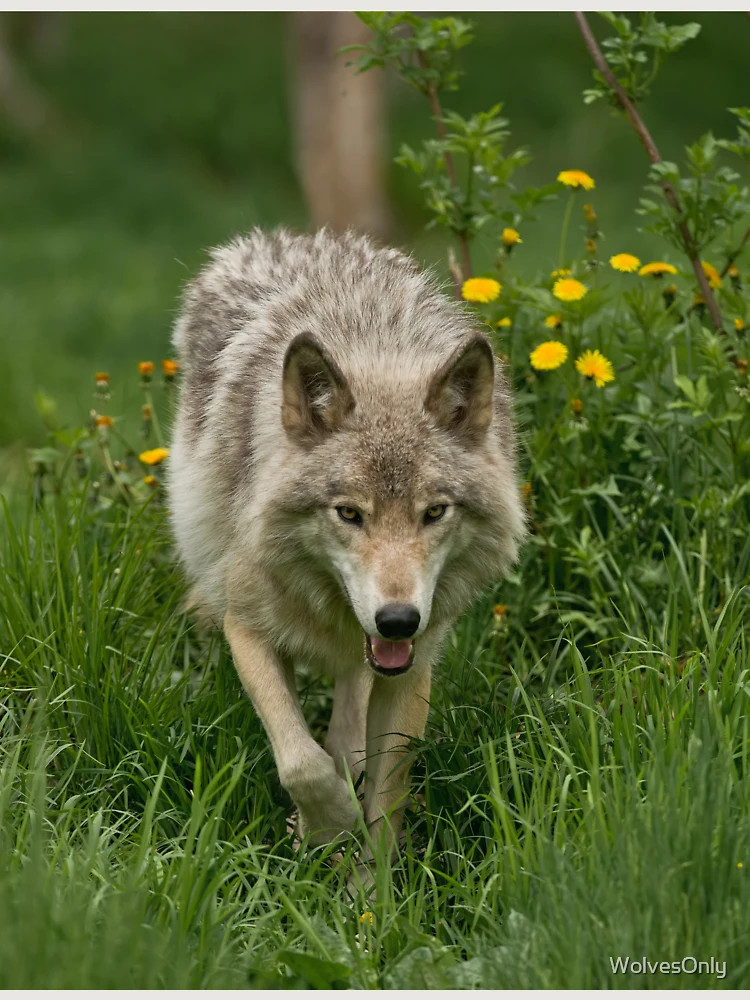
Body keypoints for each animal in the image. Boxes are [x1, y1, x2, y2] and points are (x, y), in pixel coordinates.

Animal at [168, 227, 526, 879]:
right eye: (349, 514)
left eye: (434, 512)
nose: (398, 619)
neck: (376, 353)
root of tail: (293, 237)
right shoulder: (246, 628)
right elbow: (299, 761)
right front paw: (327, 823)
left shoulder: (414, 666)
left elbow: (387, 796)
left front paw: (370, 892)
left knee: (348, 722)